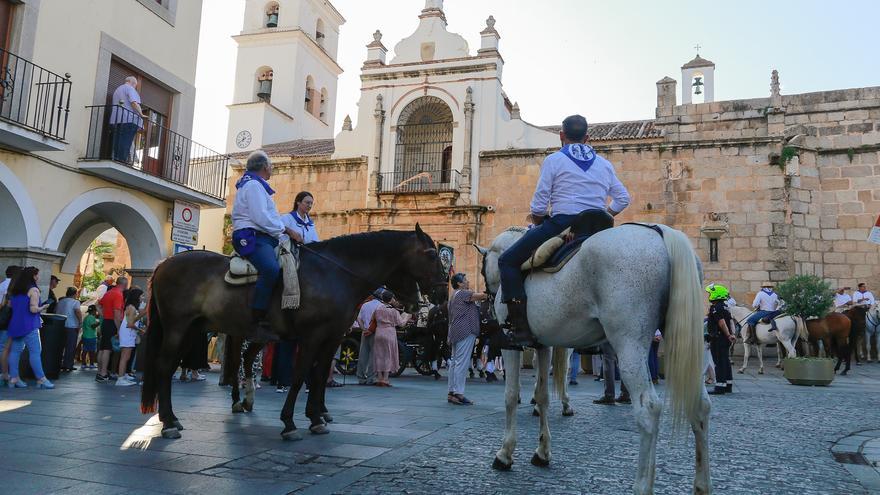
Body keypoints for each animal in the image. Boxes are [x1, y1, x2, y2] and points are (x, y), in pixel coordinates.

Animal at [144, 227, 450, 440]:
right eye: (432, 255)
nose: (441, 294)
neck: (335, 274)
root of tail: (163, 263)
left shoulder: (332, 338)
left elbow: (319, 375)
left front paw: (317, 417)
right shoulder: (312, 336)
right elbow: (301, 374)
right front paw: (291, 422)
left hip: (196, 330)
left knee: (213, 363)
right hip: (178, 327)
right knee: (165, 366)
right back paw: (171, 422)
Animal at [478, 226, 712, 495]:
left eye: (483, 269)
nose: (487, 302)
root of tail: (660, 232)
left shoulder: (511, 345)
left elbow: (510, 396)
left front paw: (504, 454)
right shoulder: (542, 345)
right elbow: (543, 397)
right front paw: (542, 452)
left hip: (629, 344)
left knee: (649, 409)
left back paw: (642, 485)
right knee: (701, 405)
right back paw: (702, 485)